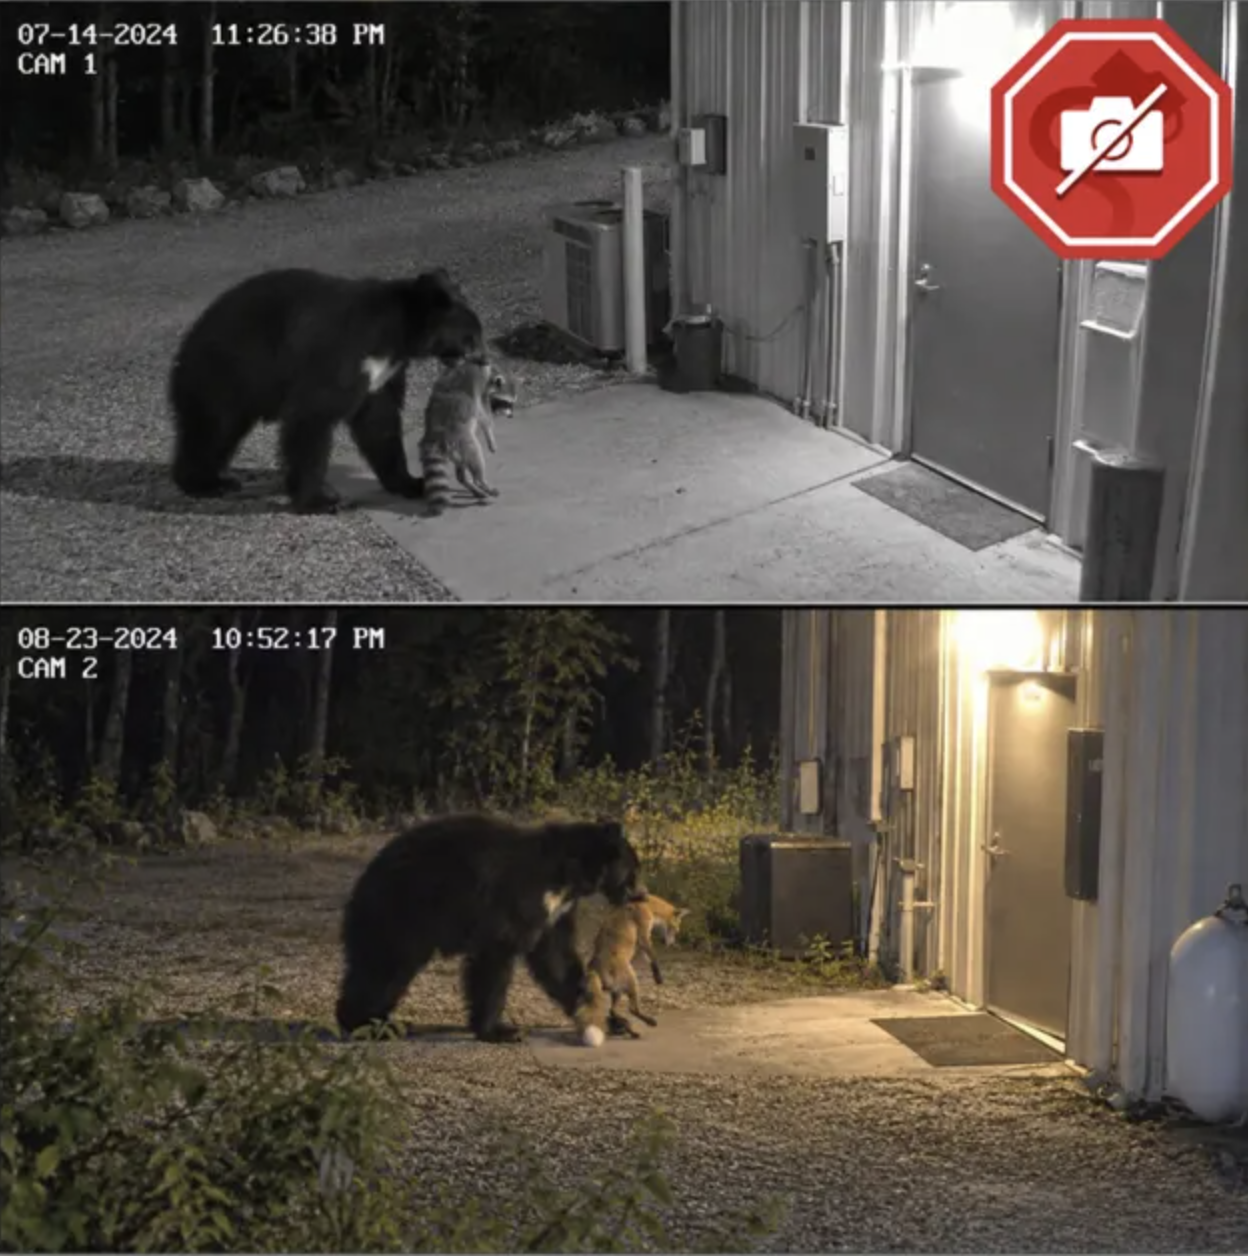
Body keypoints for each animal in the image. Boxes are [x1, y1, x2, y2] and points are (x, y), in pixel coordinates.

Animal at [167, 265, 485, 514]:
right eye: (472, 338)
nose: (484, 359)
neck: (395, 332)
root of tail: (184, 347)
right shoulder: (341, 352)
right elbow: (314, 416)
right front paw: (321, 500)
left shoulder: (384, 370)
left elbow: (379, 421)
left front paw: (412, 482)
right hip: (225, 373)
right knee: (213, 428)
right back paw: (206, 482)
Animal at [335, 812, 643, 1043]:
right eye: (634, 872)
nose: (640, 895)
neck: (568, 875)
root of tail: (366, 877)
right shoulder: (516, 897)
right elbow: (497, 956)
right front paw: (501, 1030)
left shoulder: (557, 911)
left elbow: (557, 960)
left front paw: (611, 1019)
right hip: (401, 913)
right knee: (384, 968)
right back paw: (365, 1023)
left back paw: (388, 1021)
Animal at [419, 358, 516, 517]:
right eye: (506, 403)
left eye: (512, 403)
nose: (511, 416)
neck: (490, 372)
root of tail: (434, 434)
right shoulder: (480, 390)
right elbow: (483, 416)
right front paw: (490, 435)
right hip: (461, 438)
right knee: (475, 455)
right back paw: (481, 481)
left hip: (455, 449)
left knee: (462, 468)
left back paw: (471, 485)